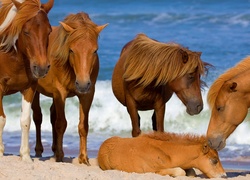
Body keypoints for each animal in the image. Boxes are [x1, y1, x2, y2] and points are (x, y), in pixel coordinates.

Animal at [0, 0, 53, 162]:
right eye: (26, 32)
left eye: (49, 31)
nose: (41, 68)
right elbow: (2, 120)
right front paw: (0, 151)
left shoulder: (30, 88)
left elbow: (25, 121)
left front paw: (25, 155)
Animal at [30, 11, 107, 165]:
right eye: (71, 50)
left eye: (95, 51)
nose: (82, 84)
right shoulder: (60, 93)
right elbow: (61, 124)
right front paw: (60, 156)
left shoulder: (87, 94)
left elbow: (83, 126)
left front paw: (83, 158)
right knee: (38, 117)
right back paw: (40, 150)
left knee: (52, 115)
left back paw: (54, 149)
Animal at [97, 131, 227, 178]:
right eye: (215, 160)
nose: (224, 176)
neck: (168, 154)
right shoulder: (154, 171)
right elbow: (180, 171)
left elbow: (191, 172)